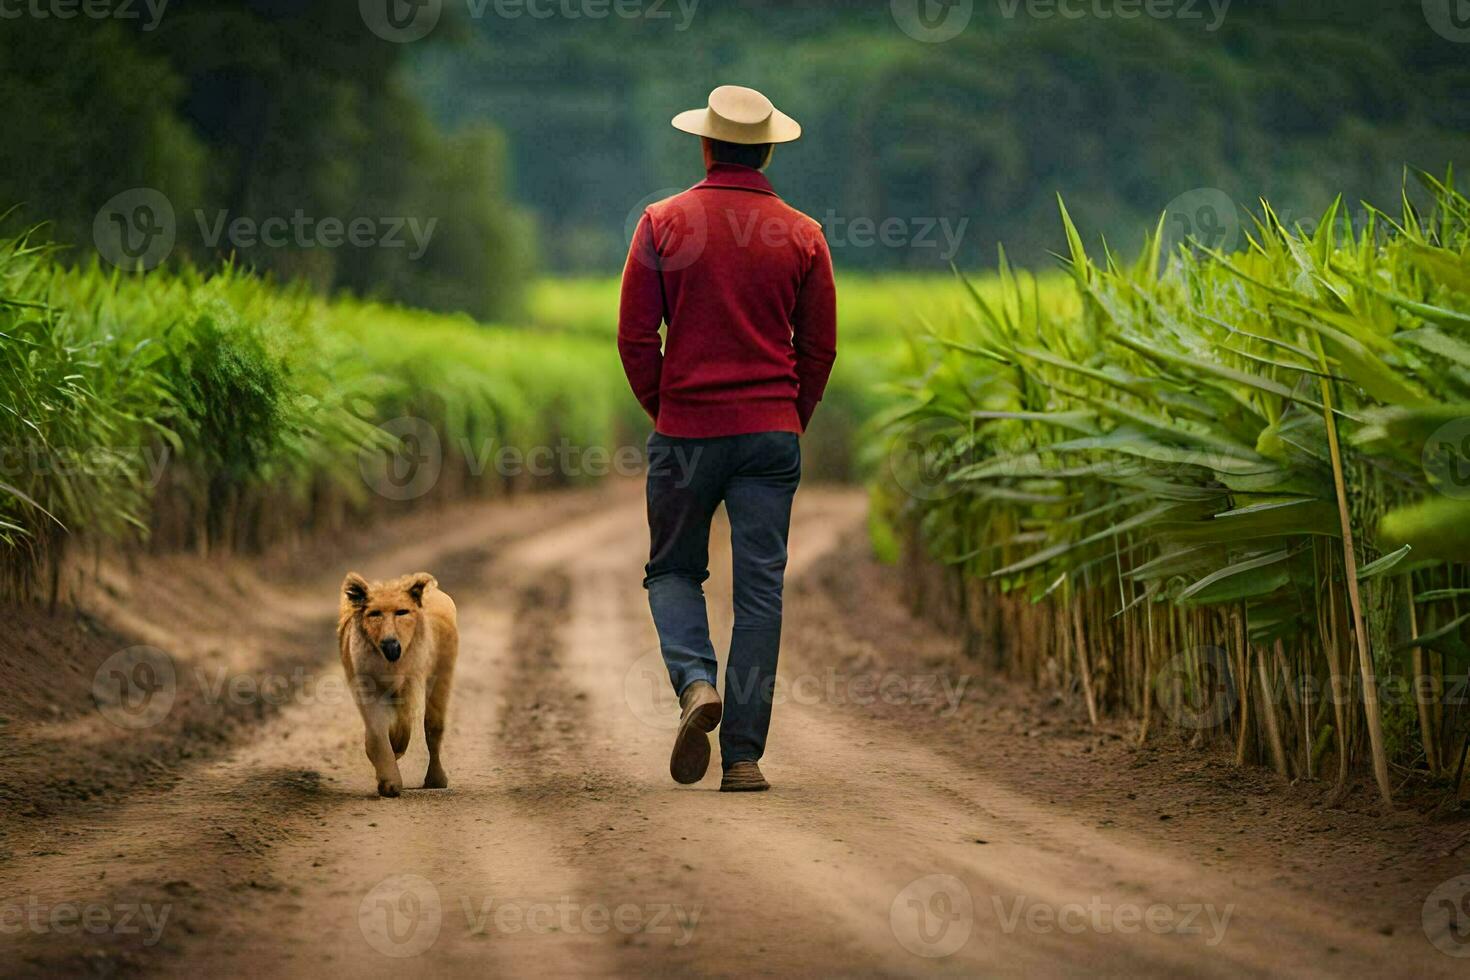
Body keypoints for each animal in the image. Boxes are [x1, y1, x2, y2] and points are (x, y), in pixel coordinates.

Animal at [336, 575, 455, 799]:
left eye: (402, 612)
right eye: (374, 613)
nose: (391, 645)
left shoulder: (412, 681)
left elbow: (408, 723)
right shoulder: (366, 683)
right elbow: (377, 732)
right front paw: (389, 784)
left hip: (441, 675)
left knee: (433, 726)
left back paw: (436, 780)